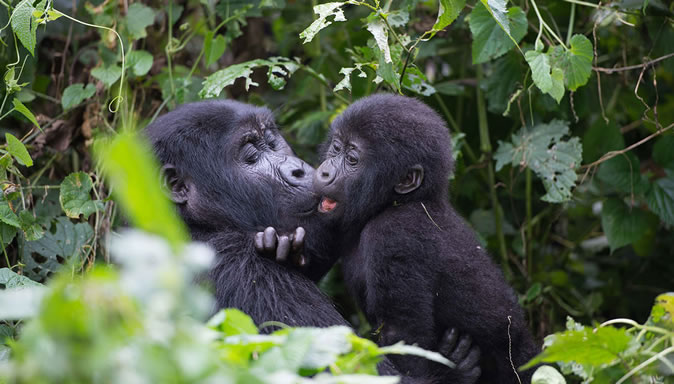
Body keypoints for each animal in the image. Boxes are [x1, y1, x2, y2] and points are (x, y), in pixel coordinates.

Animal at [143, 100, 478, 384]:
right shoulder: (246, 271)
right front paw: (458, 368)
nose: (299, 169)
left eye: (272, 141)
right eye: (250, 156)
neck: (189, 224)